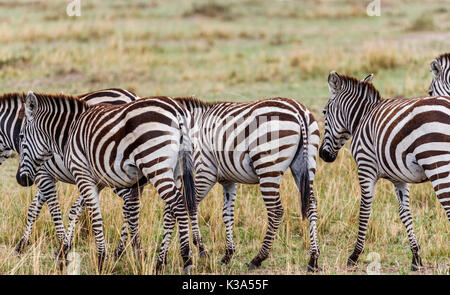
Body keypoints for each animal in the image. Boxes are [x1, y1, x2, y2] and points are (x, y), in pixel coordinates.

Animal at [0, 88, 142, 256]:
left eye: (22, 137)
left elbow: (52, 208)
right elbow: (34, 208)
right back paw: (121, 249)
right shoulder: (48, 175)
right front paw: (23, 243)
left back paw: (120, 250)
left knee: (129, 204)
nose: (21, 179)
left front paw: (62, 248)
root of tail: (133, 96)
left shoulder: (41, 174)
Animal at [18, 93, 195, 276]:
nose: (21, 179)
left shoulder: (82, 174)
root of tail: (177, 110)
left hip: (155, 165)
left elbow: (95, 216)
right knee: (171, 211)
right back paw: (160, 264)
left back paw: (186, 259)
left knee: (179, 205)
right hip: (175, 171)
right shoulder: (98, 181)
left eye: (21, 136)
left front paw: (101, 260)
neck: (69, 132)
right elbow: (82, 211)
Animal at [155, 97, 320, 272]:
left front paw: (195, 250)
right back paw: (313, 260)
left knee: (276, 211)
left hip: (268, 167)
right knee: (311, 205)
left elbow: (184, 207)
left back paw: (258, 258)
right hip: (305, 165)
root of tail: (299, 111)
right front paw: (228, 254)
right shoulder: (229, 180)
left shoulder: (205, 171)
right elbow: (227, 214)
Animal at [320, 73, 450, 272]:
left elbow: (364, 210)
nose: (323, 155)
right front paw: (416, 258)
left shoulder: (365, 167)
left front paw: (354, 256)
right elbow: (404, 213)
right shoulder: (399, 177)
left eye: (325, 113)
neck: (361, 118)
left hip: (438, 164)